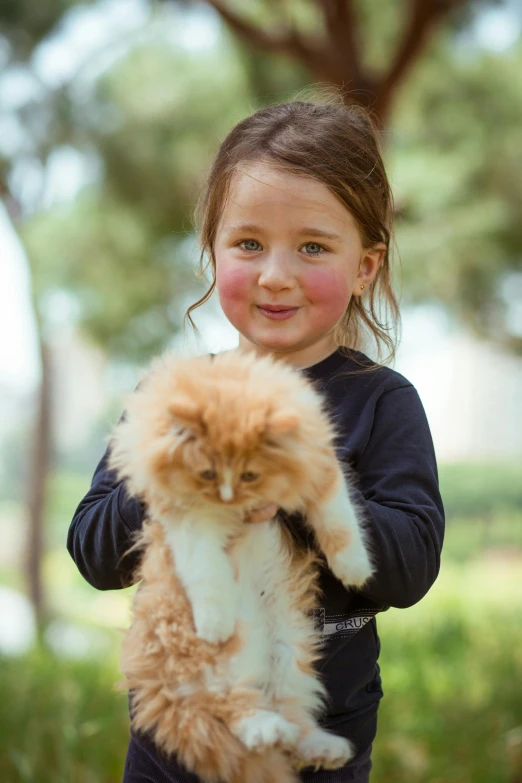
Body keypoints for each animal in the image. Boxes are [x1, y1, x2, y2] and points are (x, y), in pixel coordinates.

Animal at [107, 350, 372, 783]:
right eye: (207, 473)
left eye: (250, 474)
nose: (228, 498)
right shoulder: (190, 521)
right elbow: (206, 574)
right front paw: (214, 622)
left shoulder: (320, 469)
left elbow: (339, 522)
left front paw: (355, 570)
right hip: (224, 665)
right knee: (235, 712)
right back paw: (267, 728)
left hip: (290, 652)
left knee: (291, 723)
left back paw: (322, 747)